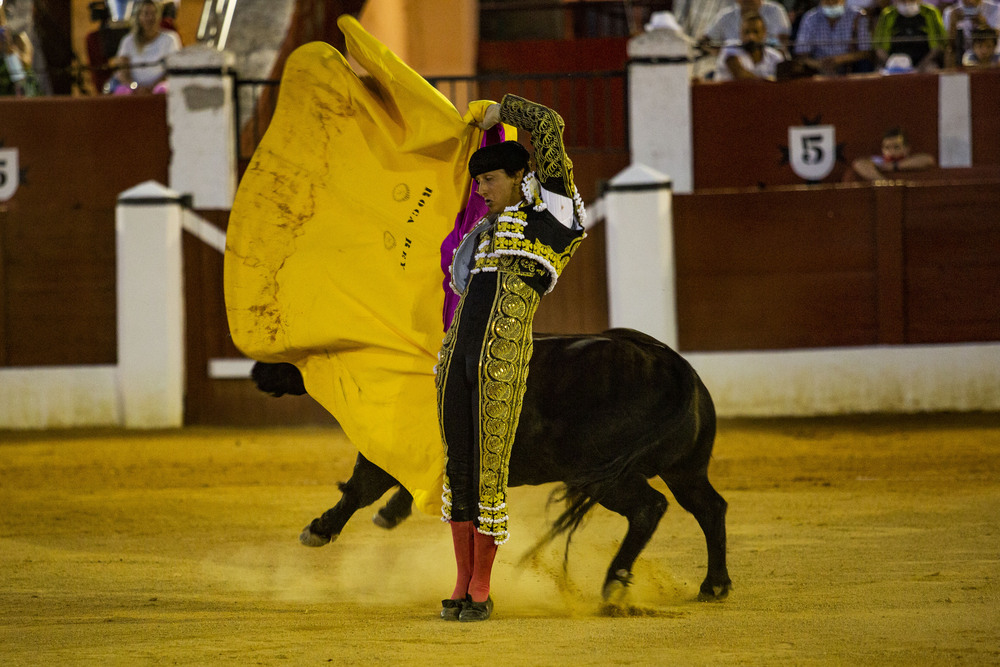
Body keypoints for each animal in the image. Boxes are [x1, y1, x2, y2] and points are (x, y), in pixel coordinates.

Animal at [254, 328, 732, 600]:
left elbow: (359, 487)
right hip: (686, 469)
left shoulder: (383, 449)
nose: (256, 371)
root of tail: (671, 363)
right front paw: (391, 513)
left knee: (649, 508)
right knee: (709, 507)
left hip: (599, 472)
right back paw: (714, 585)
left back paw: (613, 583)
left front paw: (318, 530)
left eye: (292, 350)